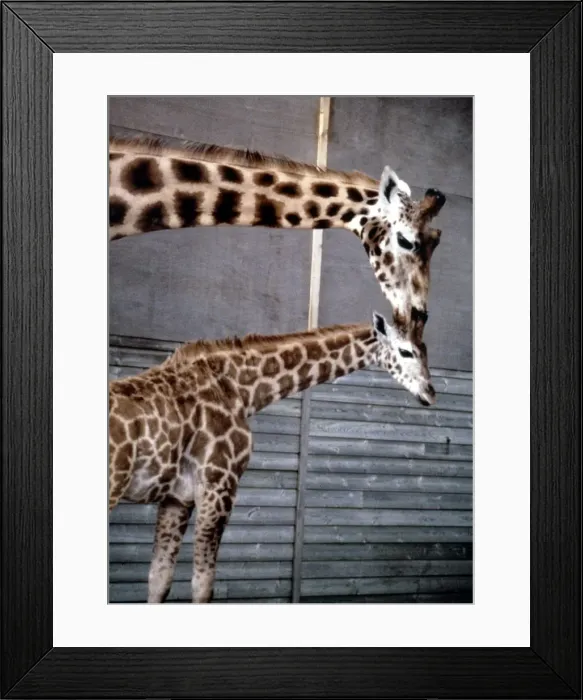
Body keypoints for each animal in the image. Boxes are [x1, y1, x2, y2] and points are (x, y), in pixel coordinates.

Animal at [109, 311, 435, 603]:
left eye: (426, 352)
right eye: (405, 351)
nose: (430, 393)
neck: (241, 389)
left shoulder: (177, 498)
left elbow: (158, 580)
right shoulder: (218, 487)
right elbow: (202, 587)